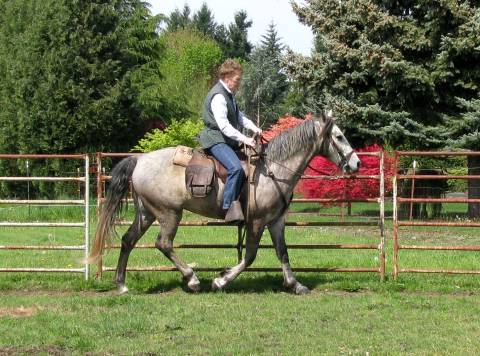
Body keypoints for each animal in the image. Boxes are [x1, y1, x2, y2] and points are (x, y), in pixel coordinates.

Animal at [89, 114, 360, 294]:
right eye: (339, 136)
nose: (356, 163)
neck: (272, 169)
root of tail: (139, 160)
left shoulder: (276, 221)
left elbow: (282, 252)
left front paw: (295, 284)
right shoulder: (256, 221)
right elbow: (250, 256)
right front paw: (221, 280)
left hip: (146, 212)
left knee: (128, 240)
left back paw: (121, 284)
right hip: (169, 213)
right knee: (163, 243)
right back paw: (192, 279)